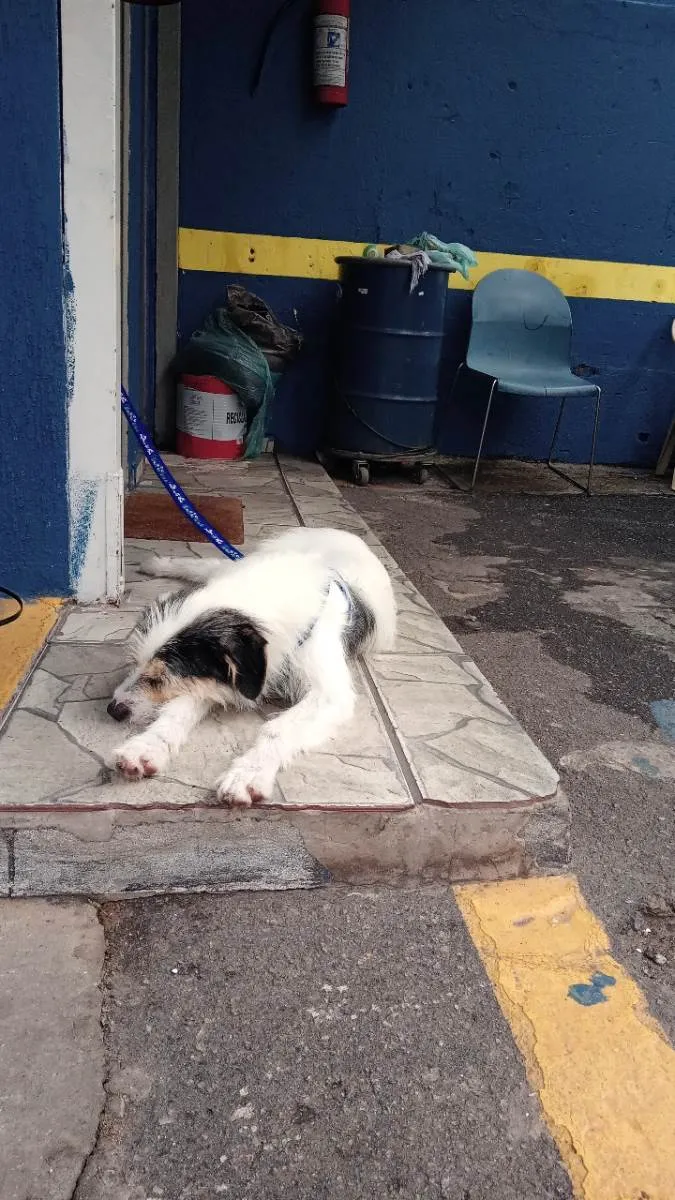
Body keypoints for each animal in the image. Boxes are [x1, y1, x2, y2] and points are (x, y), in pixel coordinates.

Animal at [106, 525, 393, 806]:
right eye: (135, 664)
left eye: (159, 679)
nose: (113, 709)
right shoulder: (211, 679)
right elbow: (176, 712)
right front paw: (145, 747)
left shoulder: (328, 695)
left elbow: (277, 730)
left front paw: (249, 773)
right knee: (208, 565)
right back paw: (158, 563)